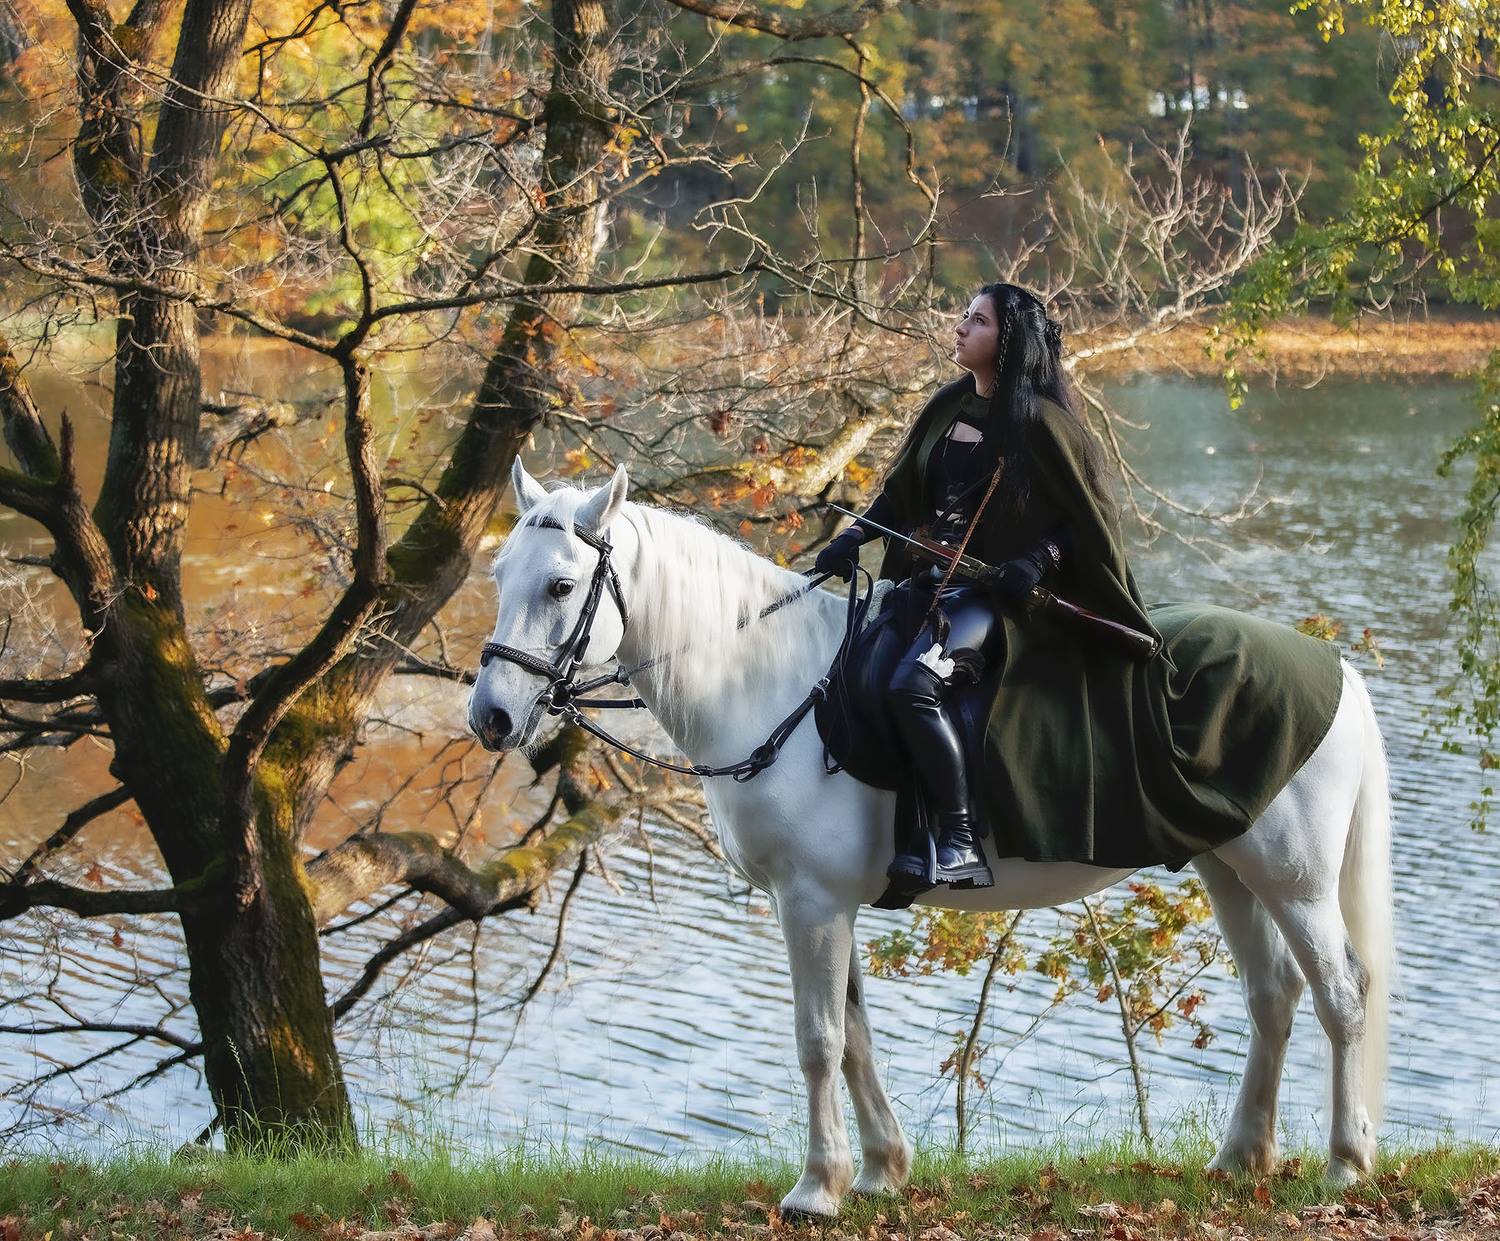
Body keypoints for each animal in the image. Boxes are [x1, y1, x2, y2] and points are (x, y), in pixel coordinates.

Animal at [468, 458, 1394, 1218]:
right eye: (500, 574)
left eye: (560, 586)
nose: (491, 718)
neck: (772, 681)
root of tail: (1336, 671)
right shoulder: (824, 906)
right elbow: (855, 1037)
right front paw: (880, 1168)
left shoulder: (812, 904)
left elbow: (819, 1040)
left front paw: (816, 1187)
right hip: (1229, 866)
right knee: (1273, 994)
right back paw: (1241, 1157)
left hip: (1298, 881)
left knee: (1342, 993)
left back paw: (1345, 1164)